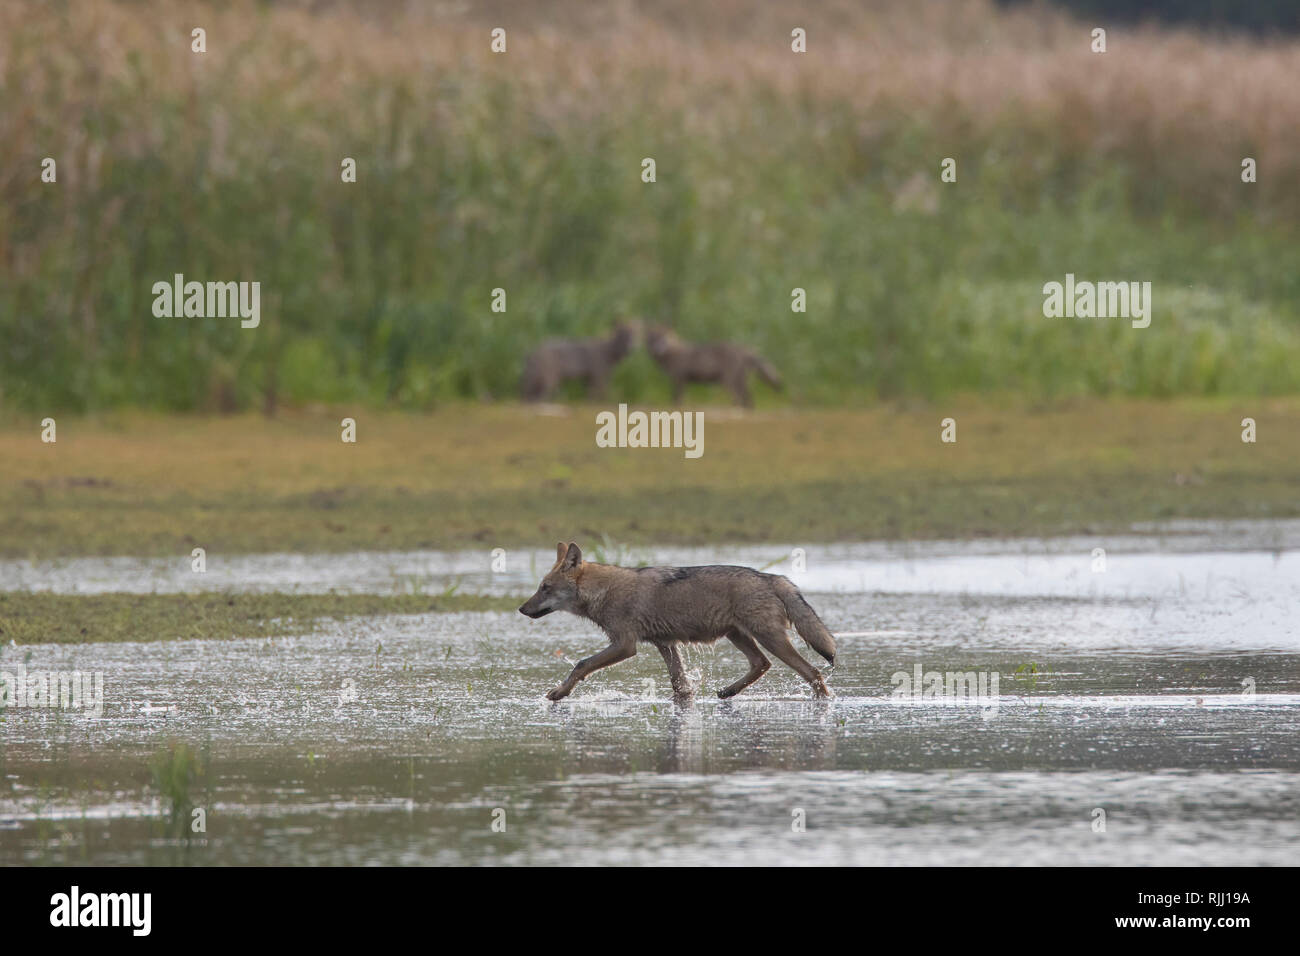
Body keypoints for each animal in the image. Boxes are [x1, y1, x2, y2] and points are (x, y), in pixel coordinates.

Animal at [519, 542, 835, 700]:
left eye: (545, 587)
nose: (521, 609)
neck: (604, 591)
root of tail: (772, 577)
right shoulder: (665, 644)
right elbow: (680, 686)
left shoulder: (625, 646)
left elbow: (581, 664)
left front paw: (559, 693)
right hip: (738, 636)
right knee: (762, 664)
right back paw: (728, 692)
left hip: (769, 639)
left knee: (813, 673)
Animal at [645, 325, 783, 407]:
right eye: (653, 339)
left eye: (664, 339)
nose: (657, 349)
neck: (671, 353)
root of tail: (746, 349)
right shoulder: (679, 380)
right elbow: (677, 398)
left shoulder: (678, 379)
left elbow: (677, 399)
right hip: (740, 382)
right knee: (748, 399)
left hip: (729, 382)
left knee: (739, 399)